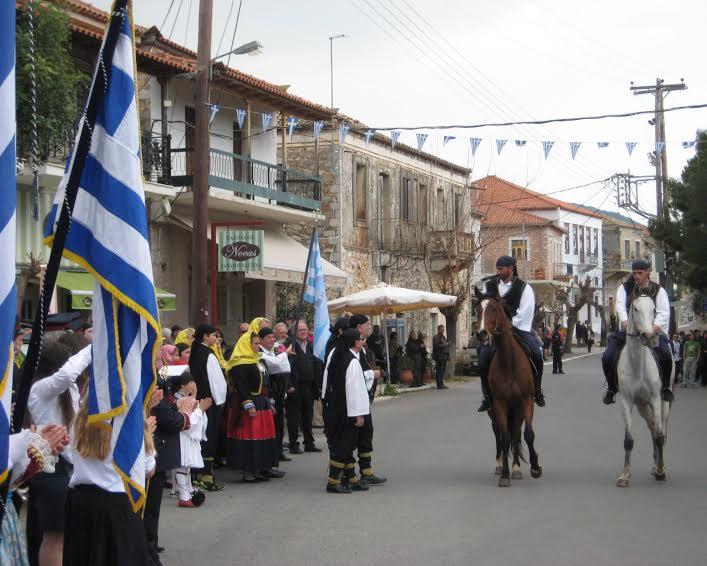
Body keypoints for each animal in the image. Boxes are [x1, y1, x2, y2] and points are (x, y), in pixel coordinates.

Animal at [478, 292, 544, 488]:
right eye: (477, 309)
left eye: (493, 308)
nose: (481, 334)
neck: (508, 361)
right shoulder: (500, 404)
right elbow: (505, 438)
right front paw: (505, 475)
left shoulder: (526, 401)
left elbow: (527, 434)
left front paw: (535, 467)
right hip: (494, 411)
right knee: (499, 435)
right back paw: (501, 464)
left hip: (518, 409)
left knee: (516, 434)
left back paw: (516, 467)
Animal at [616, 298, 672, 488]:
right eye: (635, 308)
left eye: (653, 308)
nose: (648, 336)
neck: (637, 365)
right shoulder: (626, 401)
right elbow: (628, 440)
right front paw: (625, 475)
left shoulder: (655, 399)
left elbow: (660, 436)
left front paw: (662, 472)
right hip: (642, 405)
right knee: (653, 427)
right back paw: (655, 464)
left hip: (663, 403)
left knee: (661, 431)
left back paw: (659, 467)